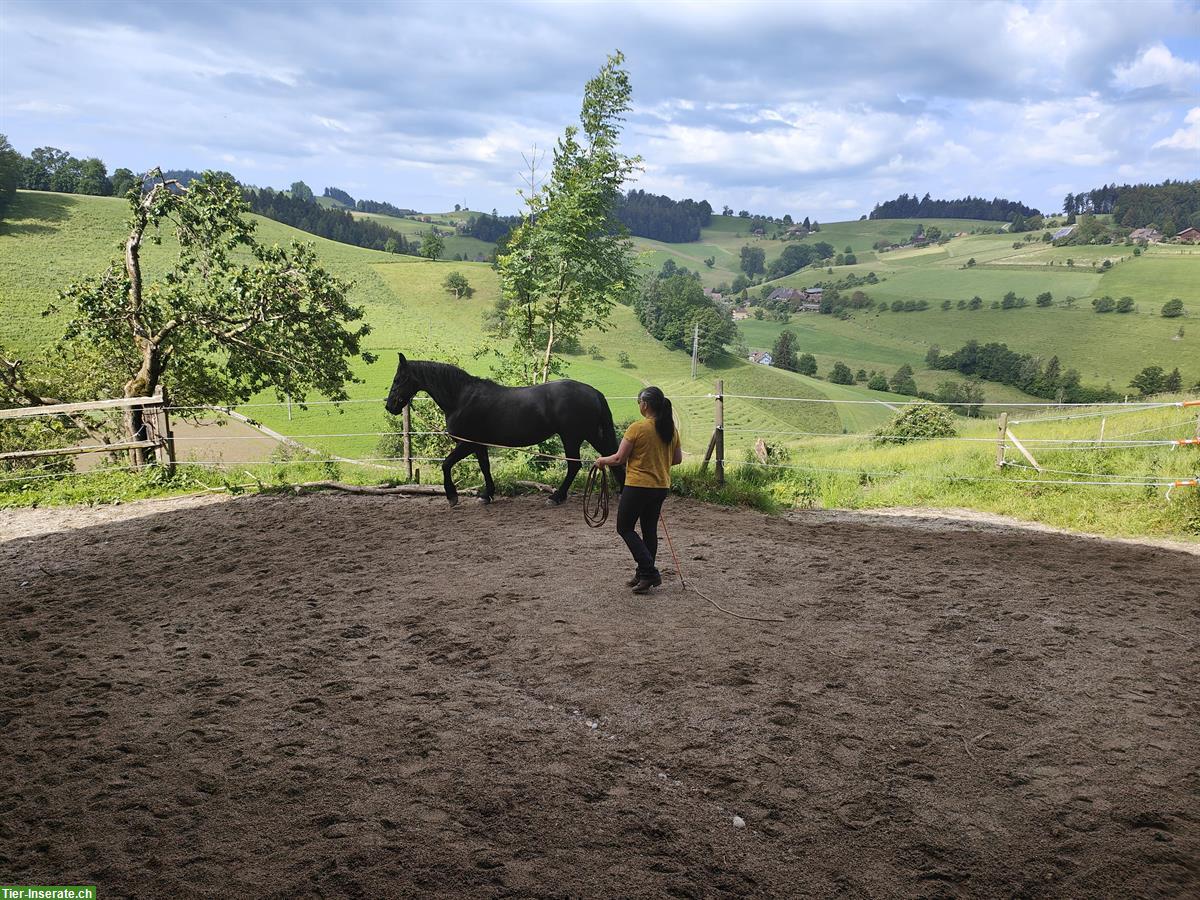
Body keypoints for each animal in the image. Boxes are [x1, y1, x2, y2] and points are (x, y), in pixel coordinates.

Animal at [386, 355, 628, 508]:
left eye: (398, 379)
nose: (390, 406)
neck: (461, 398)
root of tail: (593, 392)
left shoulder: (467, 443)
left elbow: (446, 465)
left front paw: (452, 497)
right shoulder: (479, 444)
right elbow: (485, 467)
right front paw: (487, 495)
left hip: (573, 437)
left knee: (574, 466)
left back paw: (556, 497)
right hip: (590, 434)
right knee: (610, 456)